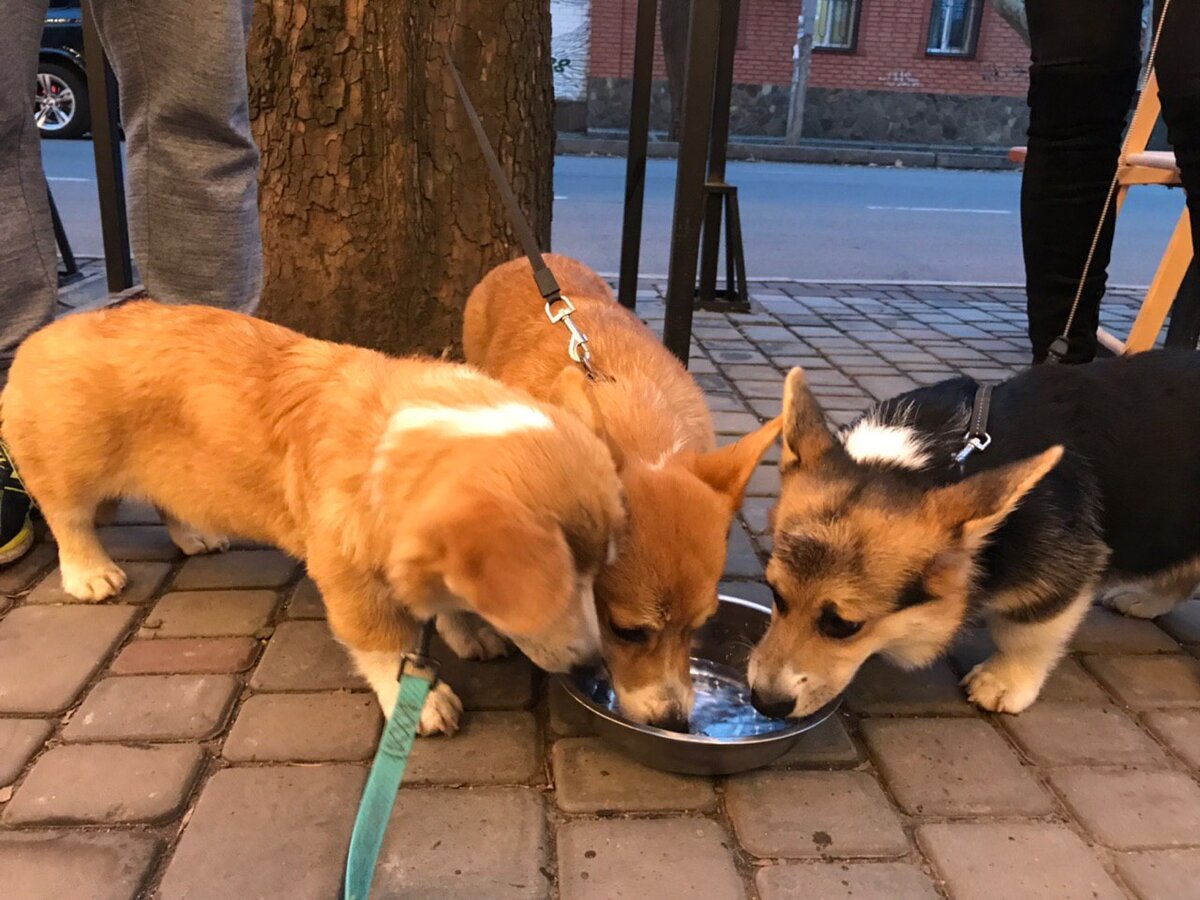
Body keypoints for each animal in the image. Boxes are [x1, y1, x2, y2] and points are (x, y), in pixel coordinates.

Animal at [7, 303, 628, 734]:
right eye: (556, 585)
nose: (593, 664)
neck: (394, 443)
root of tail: (40, 337)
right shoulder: (351, 579)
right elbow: (386, 647)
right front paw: (423, 701)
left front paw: (469, 630)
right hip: (72, 467)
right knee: (68, 518)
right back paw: (91, 574)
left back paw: (196, 536)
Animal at [753, 352, 1200, 720]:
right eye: (775, 594)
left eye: (844, 626)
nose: (764, 703)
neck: (940, 463)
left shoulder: (1063, 568)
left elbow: (1027, 633)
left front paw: (1005, 681)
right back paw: (1146, 599)